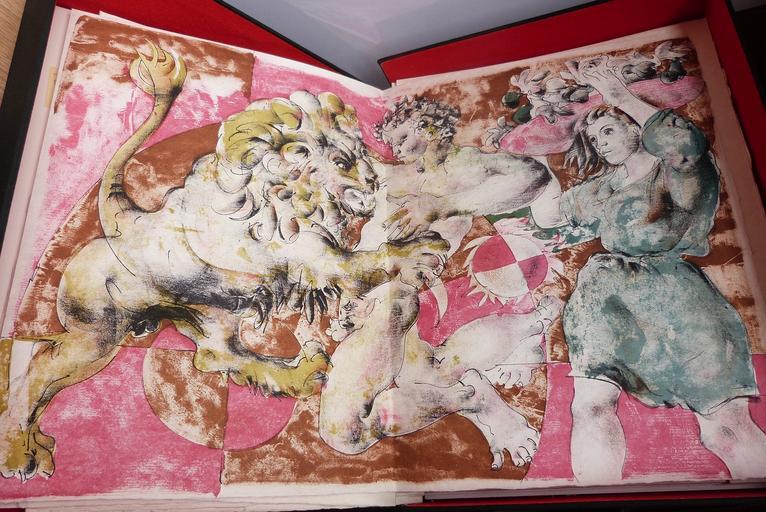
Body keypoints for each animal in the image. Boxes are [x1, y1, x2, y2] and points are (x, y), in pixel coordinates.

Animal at [0, 43, 446, 480]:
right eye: (341, 162)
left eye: (361, 153)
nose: (374, 181)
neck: (287, 196)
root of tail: (122, 221)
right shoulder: (311, 255)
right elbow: (364, 262)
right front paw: (422, 254)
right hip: (97, 337)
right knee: (40, 369)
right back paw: (20, 454)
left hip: (209, 313)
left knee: (216, 355)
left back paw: (301, 372)